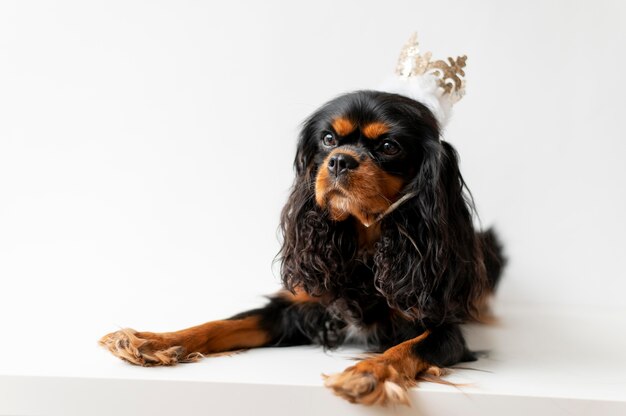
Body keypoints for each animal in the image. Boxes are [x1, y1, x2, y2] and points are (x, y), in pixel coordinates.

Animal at [100, 90, 504, 406]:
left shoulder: (442, 328)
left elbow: (406, 349)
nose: (339, 160)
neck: (365, 247)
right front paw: (153, 341)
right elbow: (221, 324)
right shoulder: (297, 307)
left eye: (390, 147)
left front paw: (367, 373)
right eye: (328, 139)